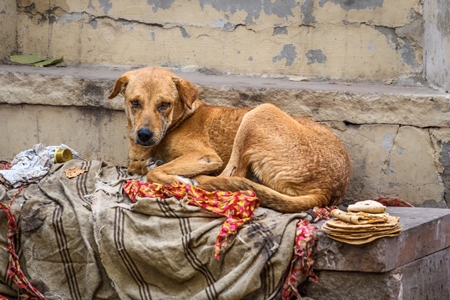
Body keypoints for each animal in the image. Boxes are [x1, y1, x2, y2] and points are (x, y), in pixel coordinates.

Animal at [109, 67, 352, 213]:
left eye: (164, 105)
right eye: (135, 102)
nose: (144, 135)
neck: (179, 120)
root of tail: (329, 191)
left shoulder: (206, 156)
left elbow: (154, 172)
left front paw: (177, 179)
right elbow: (139, 166)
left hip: (257, 113)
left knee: (230, 177)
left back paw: (195, 181)